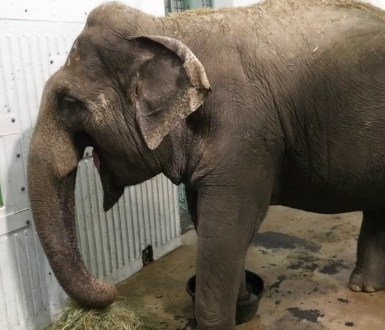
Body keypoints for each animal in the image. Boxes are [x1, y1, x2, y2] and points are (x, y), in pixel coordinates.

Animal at [27, 0, 385, 328]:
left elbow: (226, 229)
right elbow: (210, 223)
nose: (110, 290)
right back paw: (364, 288)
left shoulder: (245, 136)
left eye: (69, 103)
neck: (165, 29)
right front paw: (240, 306)